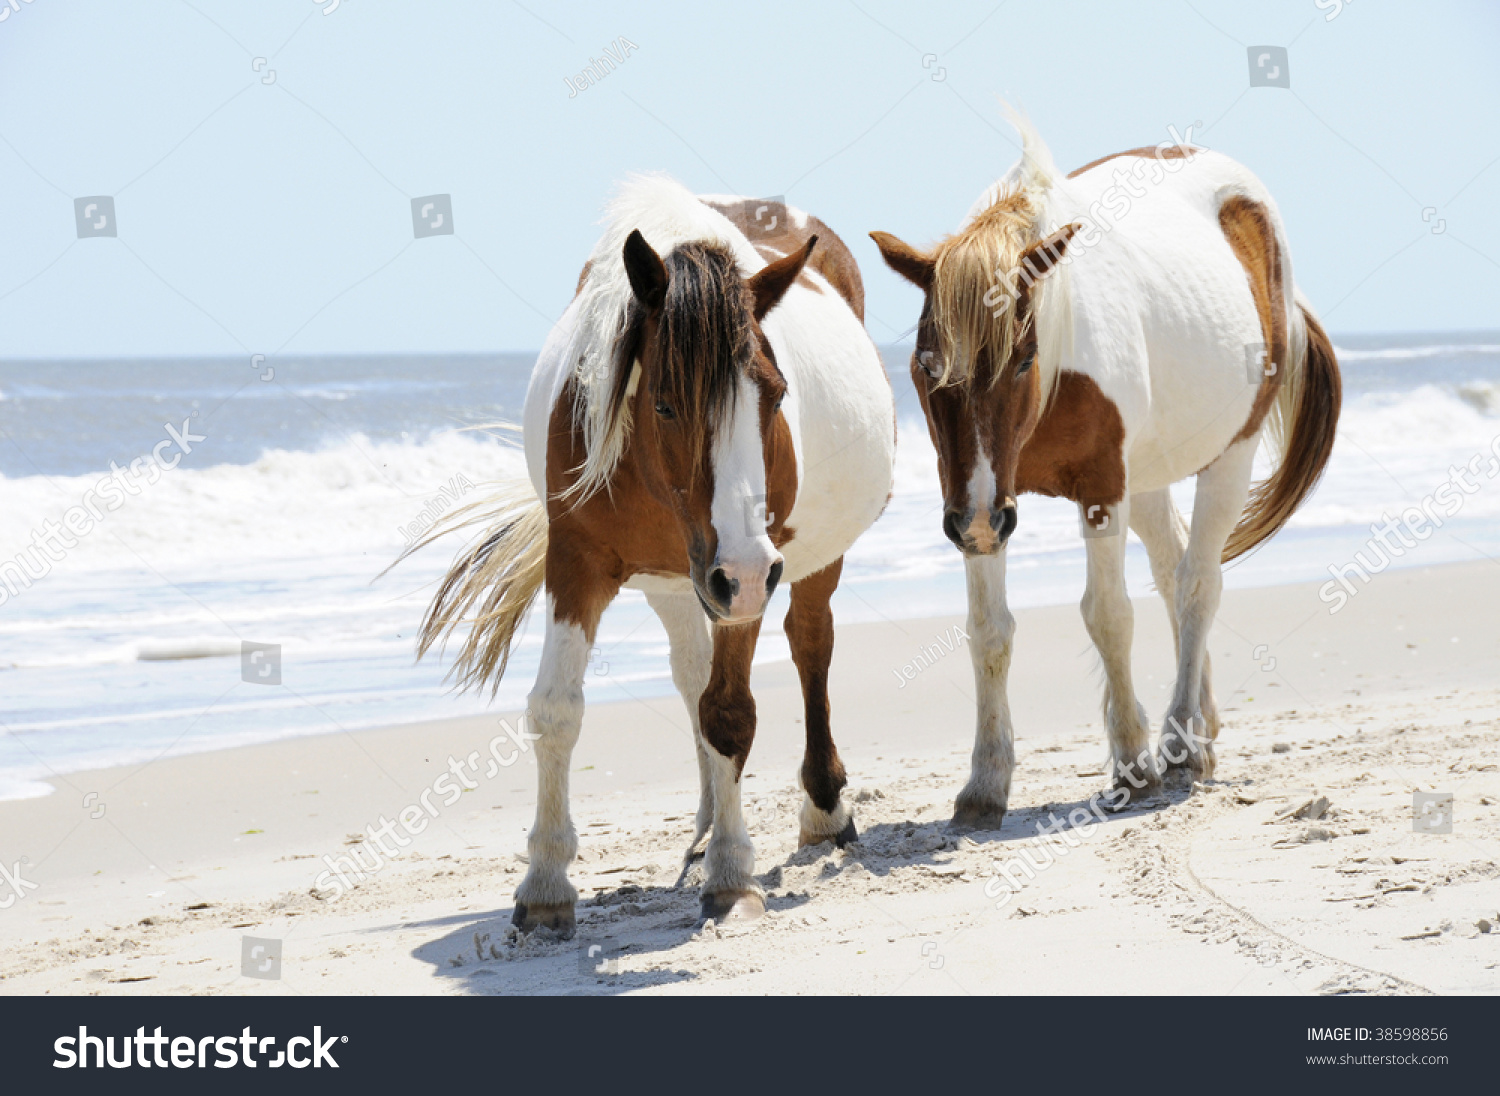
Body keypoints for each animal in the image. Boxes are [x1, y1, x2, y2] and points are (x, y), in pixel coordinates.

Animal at [411, 175, 894, 929]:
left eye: (776, 395)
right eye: (666, 404)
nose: (744, 571)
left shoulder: (747, 577)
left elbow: (731, 712)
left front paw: (732, 874)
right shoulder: (578, 564)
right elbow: (556, 710)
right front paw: (544, 884)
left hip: (799, 562)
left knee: (810, 644)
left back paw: (822, 809)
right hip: (684, 584)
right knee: (693, 675)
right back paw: (710, 815)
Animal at [876, 117, 1344, 821]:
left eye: (1022, 358)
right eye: (927, 364)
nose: (979, 520)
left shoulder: (1096, 489)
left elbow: (1108, 615)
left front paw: (1131, 761)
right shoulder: (979, 502)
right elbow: (988, 631)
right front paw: (986, 781)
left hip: (1226, 457)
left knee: (1198, 582)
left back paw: (1180, 744)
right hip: (1142, 476)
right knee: (1173, 570)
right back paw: (1200, 726)